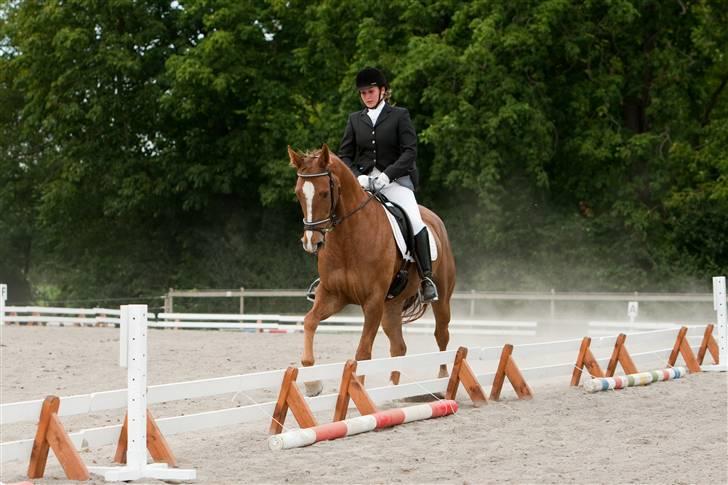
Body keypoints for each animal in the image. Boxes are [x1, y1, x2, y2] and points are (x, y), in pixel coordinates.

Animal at [288, 143, 456, 394]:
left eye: (324, 193)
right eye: (299, 193)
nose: (311, 242)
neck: (348, 239)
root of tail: (434, 219)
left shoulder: (373, 302)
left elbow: (363, 352)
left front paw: (356, 390)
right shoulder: (332, 295)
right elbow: (309, 322)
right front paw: (312, 384)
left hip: (441, 298)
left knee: (441, 335)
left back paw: (441, 380)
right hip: (392, 307)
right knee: (399, 347)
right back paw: (392, 389)